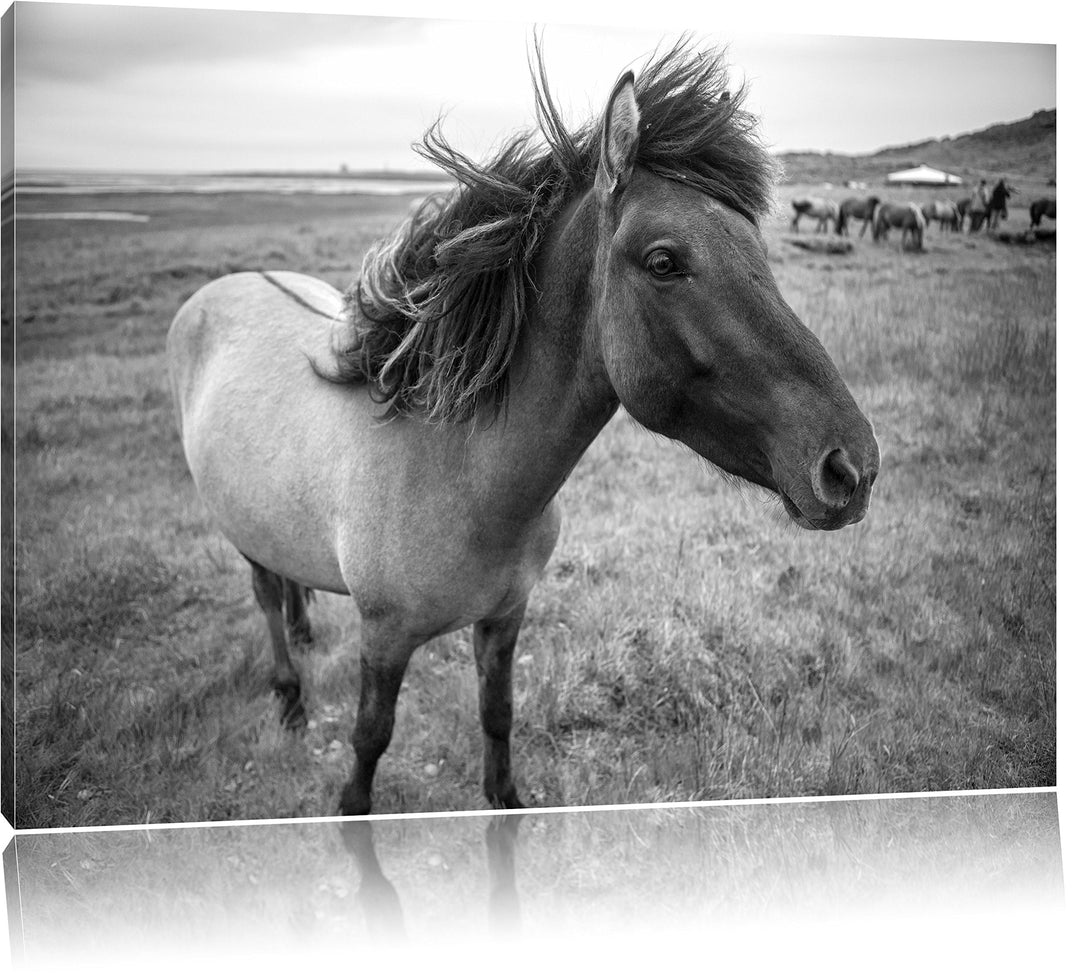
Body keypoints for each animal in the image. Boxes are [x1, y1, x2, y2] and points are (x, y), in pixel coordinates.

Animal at [167, 43, 880, 817]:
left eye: (759, 248)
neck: (459, 474)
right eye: (665, 261)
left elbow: (497, 717)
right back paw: (291, 697)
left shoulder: (505, 618)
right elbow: (369, 742)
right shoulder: (383, 638)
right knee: (265, 597)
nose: (850, 467)